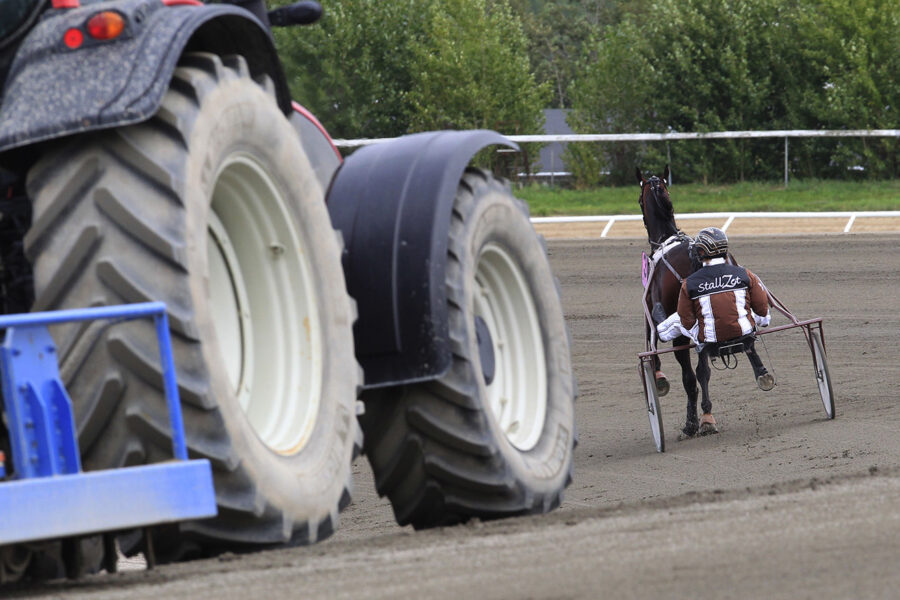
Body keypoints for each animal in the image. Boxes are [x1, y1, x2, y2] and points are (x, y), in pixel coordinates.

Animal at [632, 168, 712, 436]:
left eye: (639, 199)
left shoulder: (652, 311)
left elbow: (652, 344)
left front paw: (657, 376)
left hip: (680, 332)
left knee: (689, 376)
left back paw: (693, 423)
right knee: (702, 372)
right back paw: (706, 417)